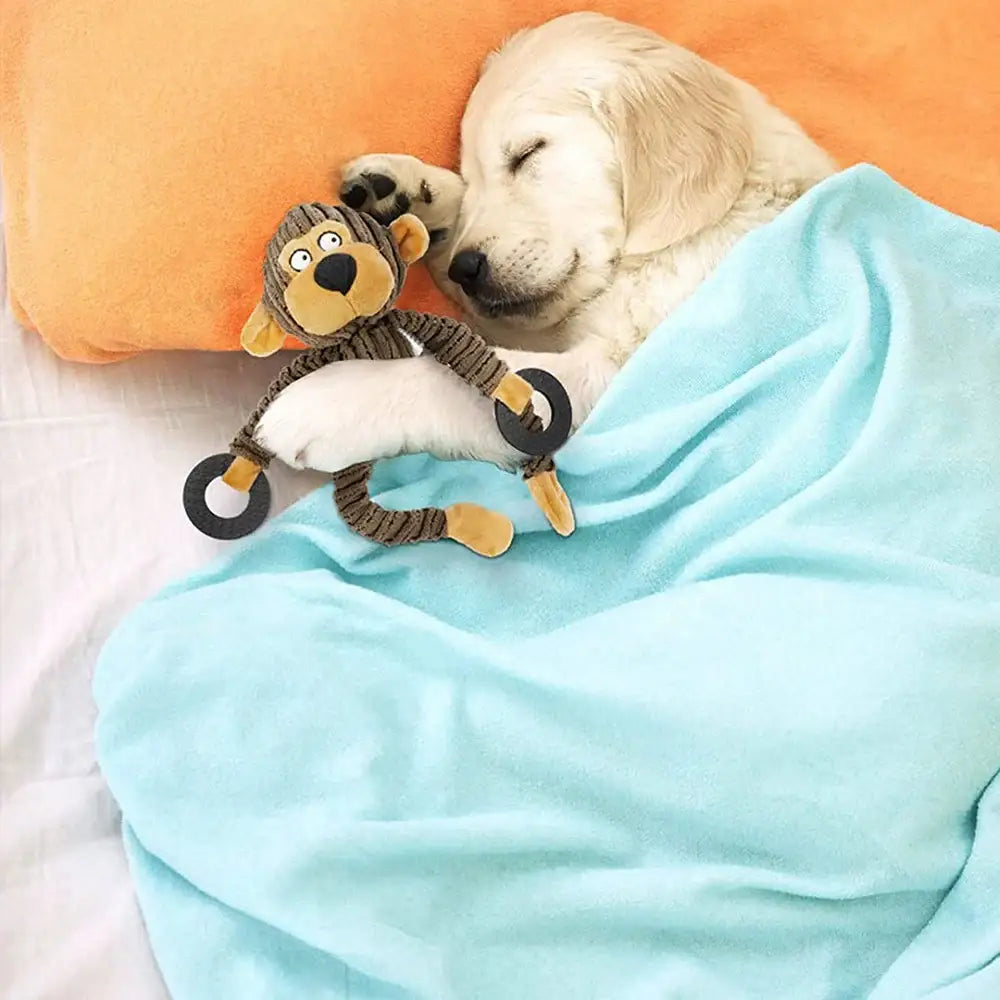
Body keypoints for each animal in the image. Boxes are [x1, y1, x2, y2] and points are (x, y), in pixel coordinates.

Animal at [254, 11, 832, 478]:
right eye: (476, 174)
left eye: (528, 153)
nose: (467, 269)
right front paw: (411, 194)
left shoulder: (632, 379)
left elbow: (461, 378)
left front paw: (328, 400)